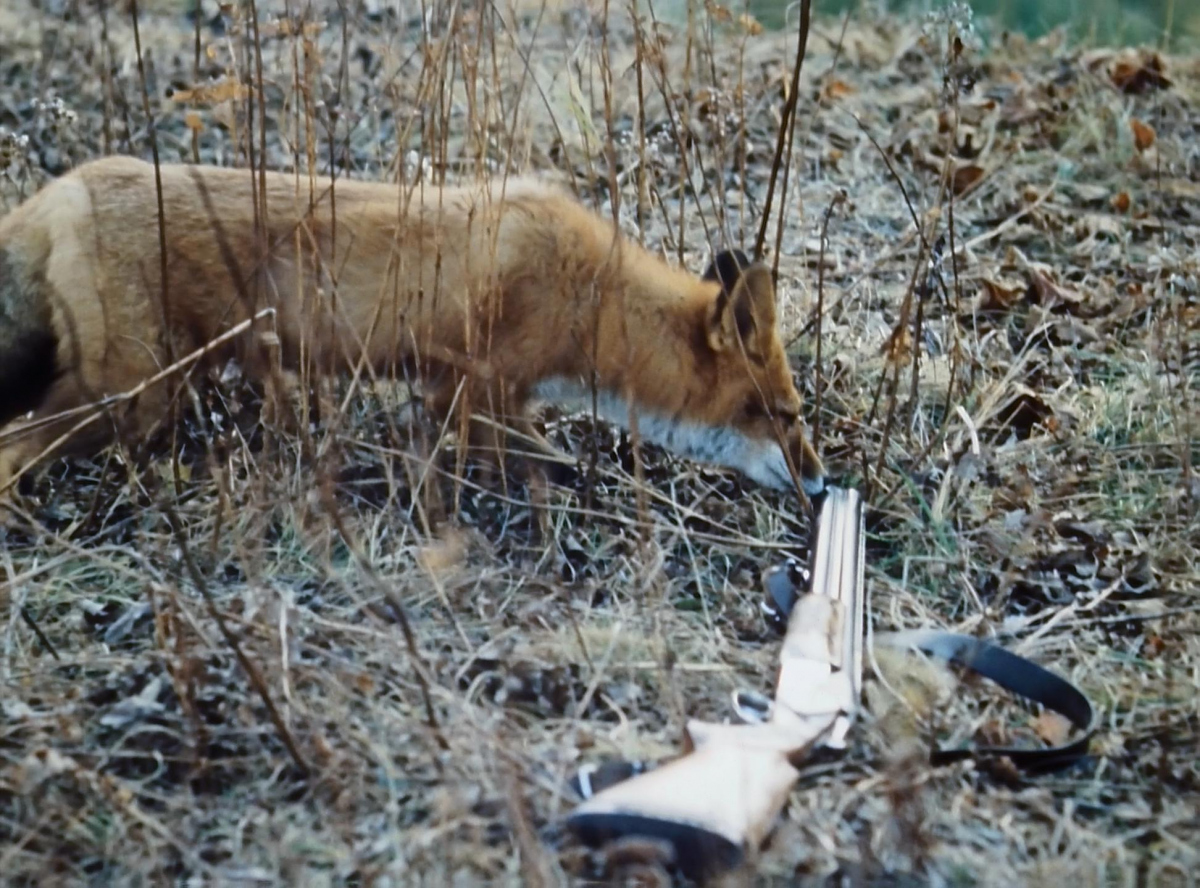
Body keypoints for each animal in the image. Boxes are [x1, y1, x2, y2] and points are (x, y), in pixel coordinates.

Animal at [0, 154, 825, 499]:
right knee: (13, 448)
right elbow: (541, 462)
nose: (823, 484)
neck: (591, 297)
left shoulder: (469, 396)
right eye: (784, 415)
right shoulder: (472, 389)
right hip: (131, 396)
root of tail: (58, 190)